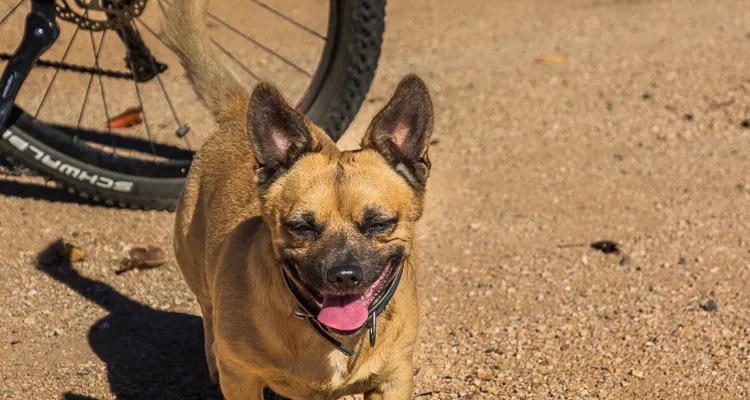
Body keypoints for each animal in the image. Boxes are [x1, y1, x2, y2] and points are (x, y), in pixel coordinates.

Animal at [164, 1, 434, 398]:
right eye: (301, 227)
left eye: (379, 223)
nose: (344, 276)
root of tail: (238, 111)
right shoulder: (241, 379)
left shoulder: (394, 378)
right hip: (196, 270)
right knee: (207, 315)